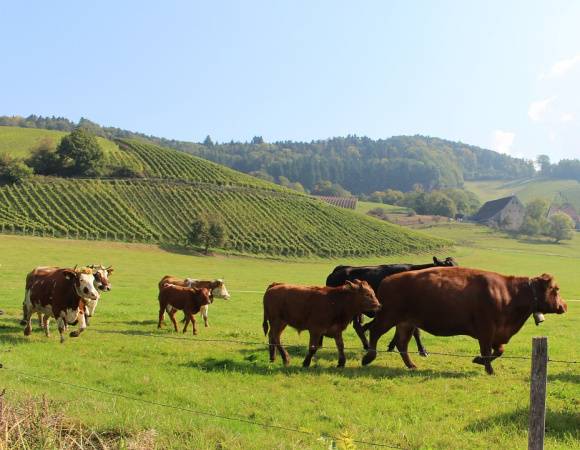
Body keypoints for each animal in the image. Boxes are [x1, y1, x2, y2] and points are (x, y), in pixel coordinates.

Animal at [324, 256, 456, 352]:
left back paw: (366, 345)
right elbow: (415, 331)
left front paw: (392, 346)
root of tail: (340, 268)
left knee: (358, 326)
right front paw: (422, 350)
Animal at [362, 266, 568, 374]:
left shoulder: (497, 334)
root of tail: (387, 280)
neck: (510, 292)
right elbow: (487, 351)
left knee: (401, 343)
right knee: (374, 331)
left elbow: (498, 351)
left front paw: (478, 361)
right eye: (556, 289)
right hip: (388, 317)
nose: (564, 306)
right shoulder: (486, 331)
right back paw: (368, 358)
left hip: (406, 323)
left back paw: (411, 365)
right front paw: (488, 369)